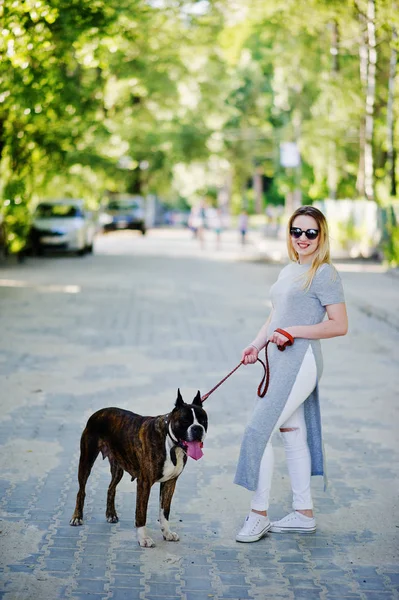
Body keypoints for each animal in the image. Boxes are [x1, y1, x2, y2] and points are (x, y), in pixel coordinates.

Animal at [69, 390, 208, 548]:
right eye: (185, 421)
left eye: (203, 420)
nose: (197, 428)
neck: (170, 443)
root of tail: (98, 412)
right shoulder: (144, 483)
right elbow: (141, 513)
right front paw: (143, 538)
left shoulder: (170, 482)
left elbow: (164, 511)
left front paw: (167, 533)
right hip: (86, 461)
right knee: (81, 491)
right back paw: (77, 517)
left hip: (118, 468)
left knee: (111, 488)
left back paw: (111, 514)